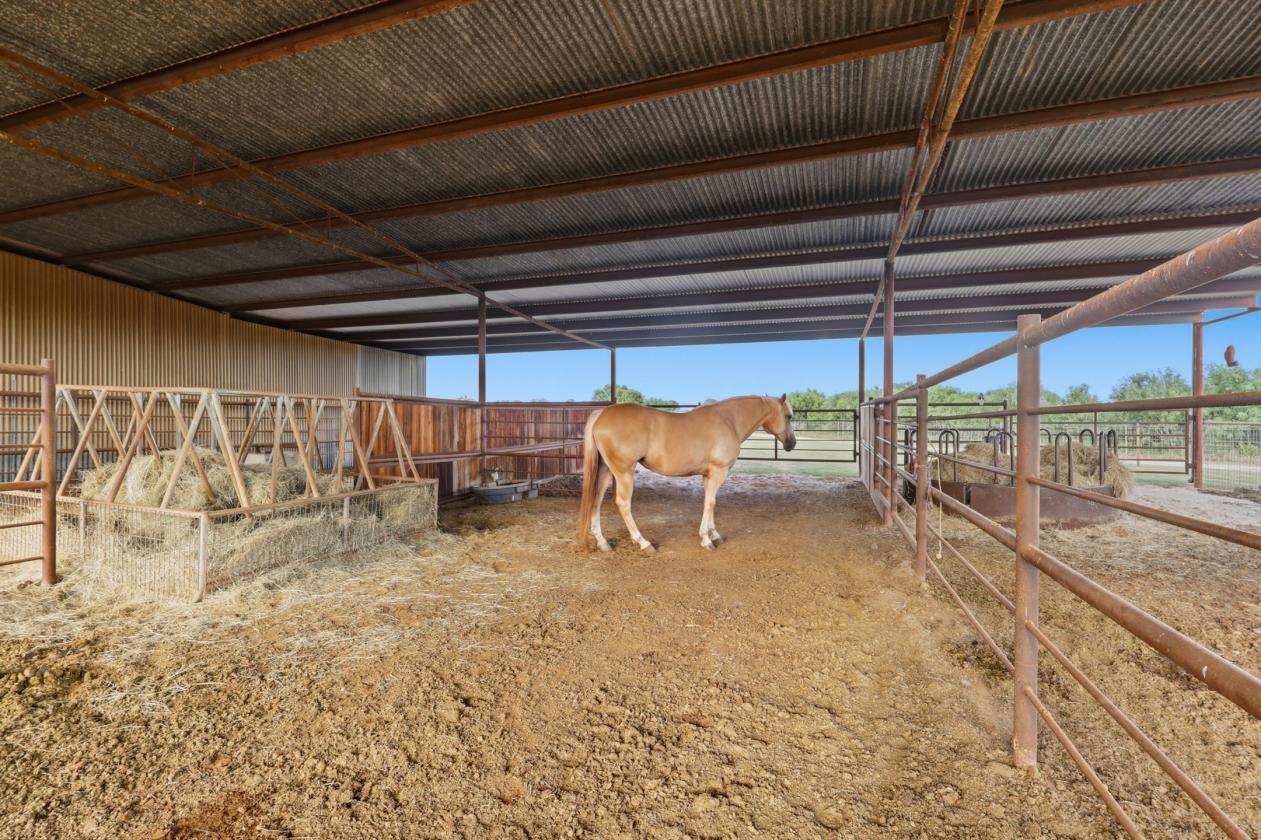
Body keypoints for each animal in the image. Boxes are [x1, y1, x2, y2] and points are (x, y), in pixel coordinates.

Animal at [577, 395, 797, 552]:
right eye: (788, 416)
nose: (792, 444)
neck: (729, 421)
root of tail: (602, 414)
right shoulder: (718, 472)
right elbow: (710, 503)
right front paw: (707, 540)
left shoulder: (708, 475)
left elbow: (710, 503)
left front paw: (714, 534)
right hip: (624, 472)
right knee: (623, 504)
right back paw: (643, 543)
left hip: (606, 470)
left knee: (596, 499)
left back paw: (602, 542)